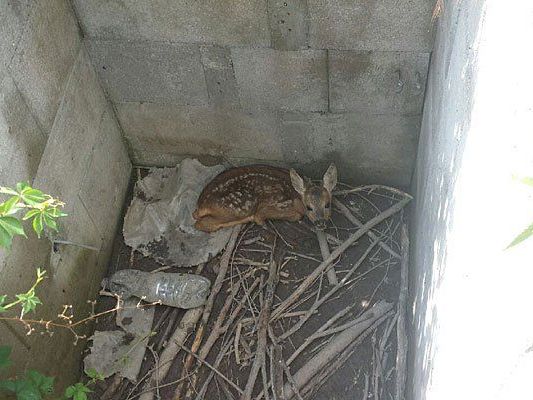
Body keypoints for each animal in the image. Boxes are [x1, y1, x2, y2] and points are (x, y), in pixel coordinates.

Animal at [192, 164, 336, 233]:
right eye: (309, 207)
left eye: (327, 205)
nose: (320, 223)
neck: (296, 196)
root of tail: (202, 203)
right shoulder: (274, 206)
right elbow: (260, 217)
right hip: (240, 207)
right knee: (200, 223)